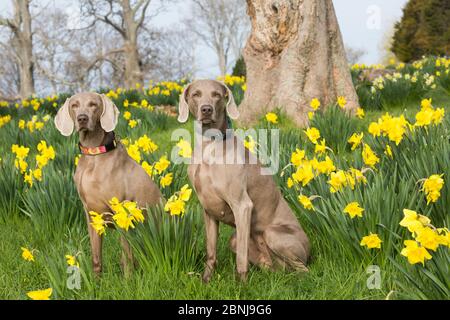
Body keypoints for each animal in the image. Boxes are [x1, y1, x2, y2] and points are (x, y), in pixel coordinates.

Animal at [54, 92, 163, 276]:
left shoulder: (121, 212)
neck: (94, 155)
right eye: (74, 105)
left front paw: (128, 280)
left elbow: (126, 255)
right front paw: (96, 280)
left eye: (93, 104)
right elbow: (96, 256)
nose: (82, 118)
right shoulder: (90, 215)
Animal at [178, 80, 312, 282]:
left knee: (303, 269)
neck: (209, 145)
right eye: (196, 94)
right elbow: (211, 251)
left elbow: (241, 256)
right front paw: (206, 279)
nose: (207, 109)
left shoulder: (242, 205)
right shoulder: (208, 210)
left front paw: (241, 283)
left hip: (274, 234)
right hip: (238, 242)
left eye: (217, 95)